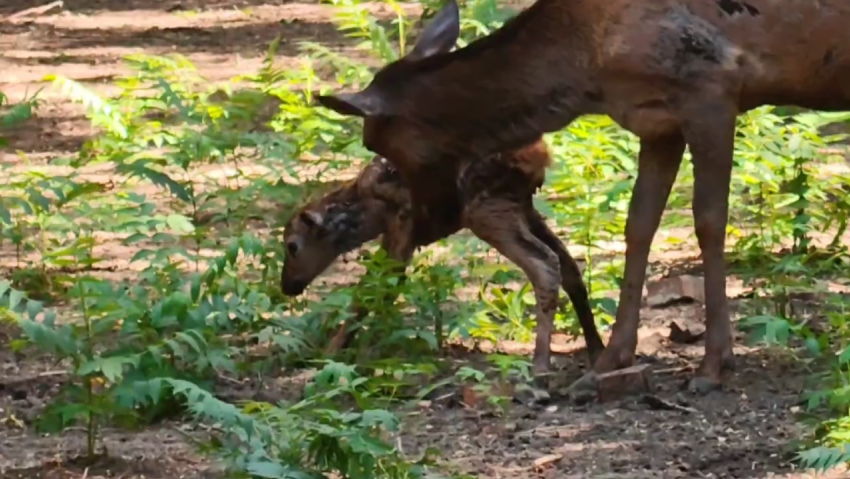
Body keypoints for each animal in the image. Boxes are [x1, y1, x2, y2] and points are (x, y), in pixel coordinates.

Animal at [280, 141, 604, 366]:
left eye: (292, 245)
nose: (287, 286)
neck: (366, 209)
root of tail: (539, 154)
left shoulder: (402, 220)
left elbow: (371, 291)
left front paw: (331, 353)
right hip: (521, 206)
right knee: (569, 266)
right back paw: (596, 348)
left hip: (486, 207)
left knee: (544, 265)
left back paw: (540, 366)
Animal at [314, 0, 848, 394]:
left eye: (376, 146)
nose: (424, 220)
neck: (588, 71)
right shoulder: (657, 120)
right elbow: (639, 224)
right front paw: (610, 359)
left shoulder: (713, 85)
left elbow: (709, 221)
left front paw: (714, 365)